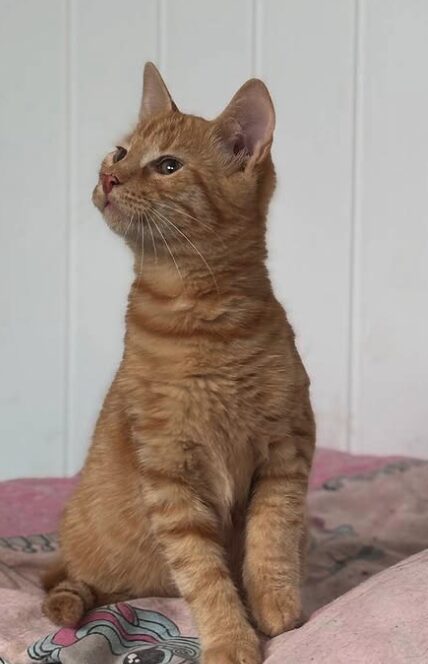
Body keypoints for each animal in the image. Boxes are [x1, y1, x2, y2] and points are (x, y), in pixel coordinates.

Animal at [42, 63, 314, 664]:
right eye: (120, 152)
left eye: (167, 165)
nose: (109, 177)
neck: (201, 320)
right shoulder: (170, 474)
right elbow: (204, 573)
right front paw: (231, 637)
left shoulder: (286, 450)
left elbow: (272, 538)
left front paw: (277, 608)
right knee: (68, 581)